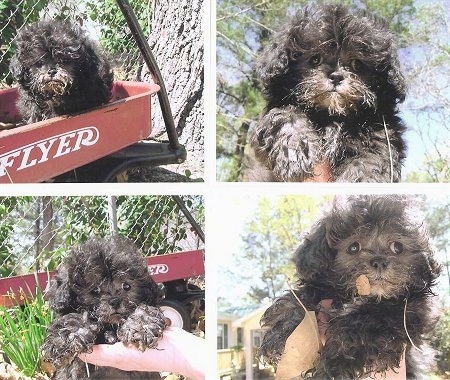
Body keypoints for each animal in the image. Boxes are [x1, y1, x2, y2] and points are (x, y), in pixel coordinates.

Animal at [40, 236, 166, 378]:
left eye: (126, 286)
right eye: (95, 290)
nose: (114, 301)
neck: (109, 326)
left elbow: (144, 309)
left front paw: (141, 326)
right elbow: (71, 319)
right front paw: (67, 338)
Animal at [250, 4, 408, 183]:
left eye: (357, 64)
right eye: (315, 59)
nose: (336, 76)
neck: (332, 115)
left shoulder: (381, 136)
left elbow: (370, 162)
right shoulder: (277, 105)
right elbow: (285, 116)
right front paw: (295, 152)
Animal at [258, 196, 442, 380]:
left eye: (397, 247)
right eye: (353, 247)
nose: (380, 261)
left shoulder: (409, 314)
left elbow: (366, 325)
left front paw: (332, 368)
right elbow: (302, 299)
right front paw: (281, 331)